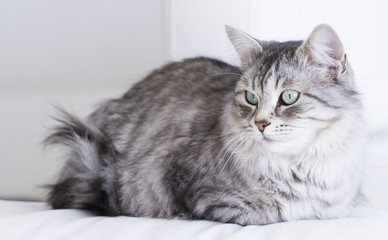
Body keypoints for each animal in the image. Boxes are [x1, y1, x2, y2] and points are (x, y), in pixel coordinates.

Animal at [45, 24, 364, 225]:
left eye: (288, 97)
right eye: (251, 97)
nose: (260, 124)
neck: (300, 168)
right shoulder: (192, 186)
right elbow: (272, 213)